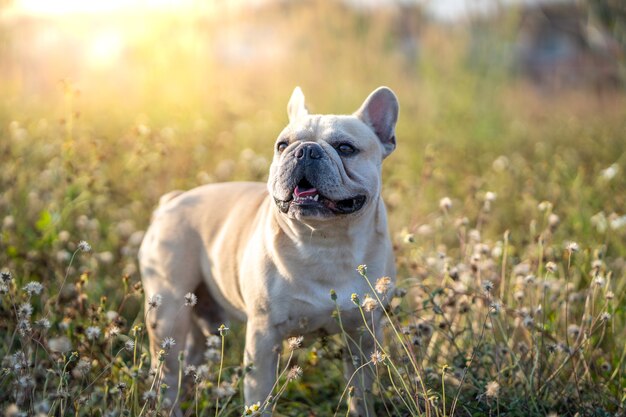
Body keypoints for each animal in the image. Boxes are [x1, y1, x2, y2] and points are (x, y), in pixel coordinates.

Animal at [139, 86, 398, 414]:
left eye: (345, 148)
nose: (305, 150)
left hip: (204, 319)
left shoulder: (363, 335)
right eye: (282, 145)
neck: (325, 240)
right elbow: (259, 398)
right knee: (168, 375)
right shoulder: (263, 337)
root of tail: (171, 201)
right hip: (169, 313)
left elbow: (360, 394)